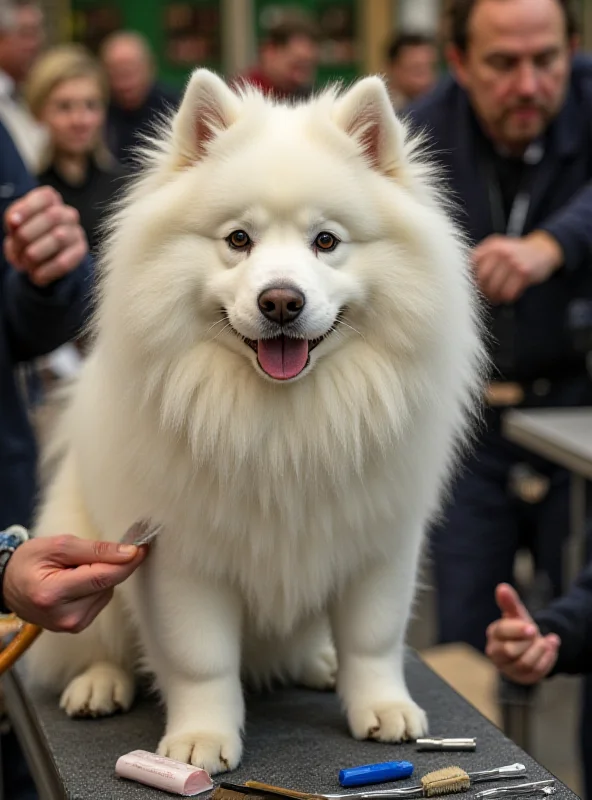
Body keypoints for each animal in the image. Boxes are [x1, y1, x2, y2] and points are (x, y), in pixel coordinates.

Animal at [25, 70, 484, 776]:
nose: (281, 301)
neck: (283, 421)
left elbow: (374, 637)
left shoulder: (380, 539)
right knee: (96, 642)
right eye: (239, 240)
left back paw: (318, 662)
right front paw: (200, 741)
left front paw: (382, 709)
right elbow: (200, 660)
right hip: (86, 556)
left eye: (326, 241)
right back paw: (99, 684)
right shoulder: (179, 555)